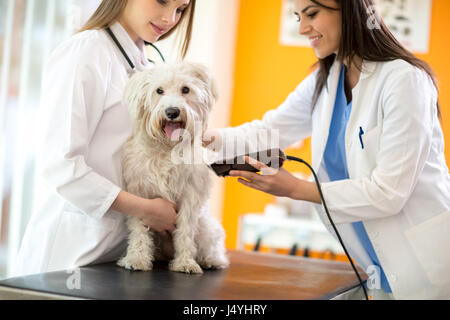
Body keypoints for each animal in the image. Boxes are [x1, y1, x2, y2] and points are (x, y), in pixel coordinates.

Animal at [117, 62, 229, 276]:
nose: (172, 111)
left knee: (211, 246)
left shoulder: (190, 196)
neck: (167, 148)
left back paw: (210, 260)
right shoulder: (140, 194)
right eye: (159, 91)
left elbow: (185, 232)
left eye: (185, 89)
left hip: (206, 227)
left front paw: (185, 262)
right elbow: (139, 230)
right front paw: (137, 258)